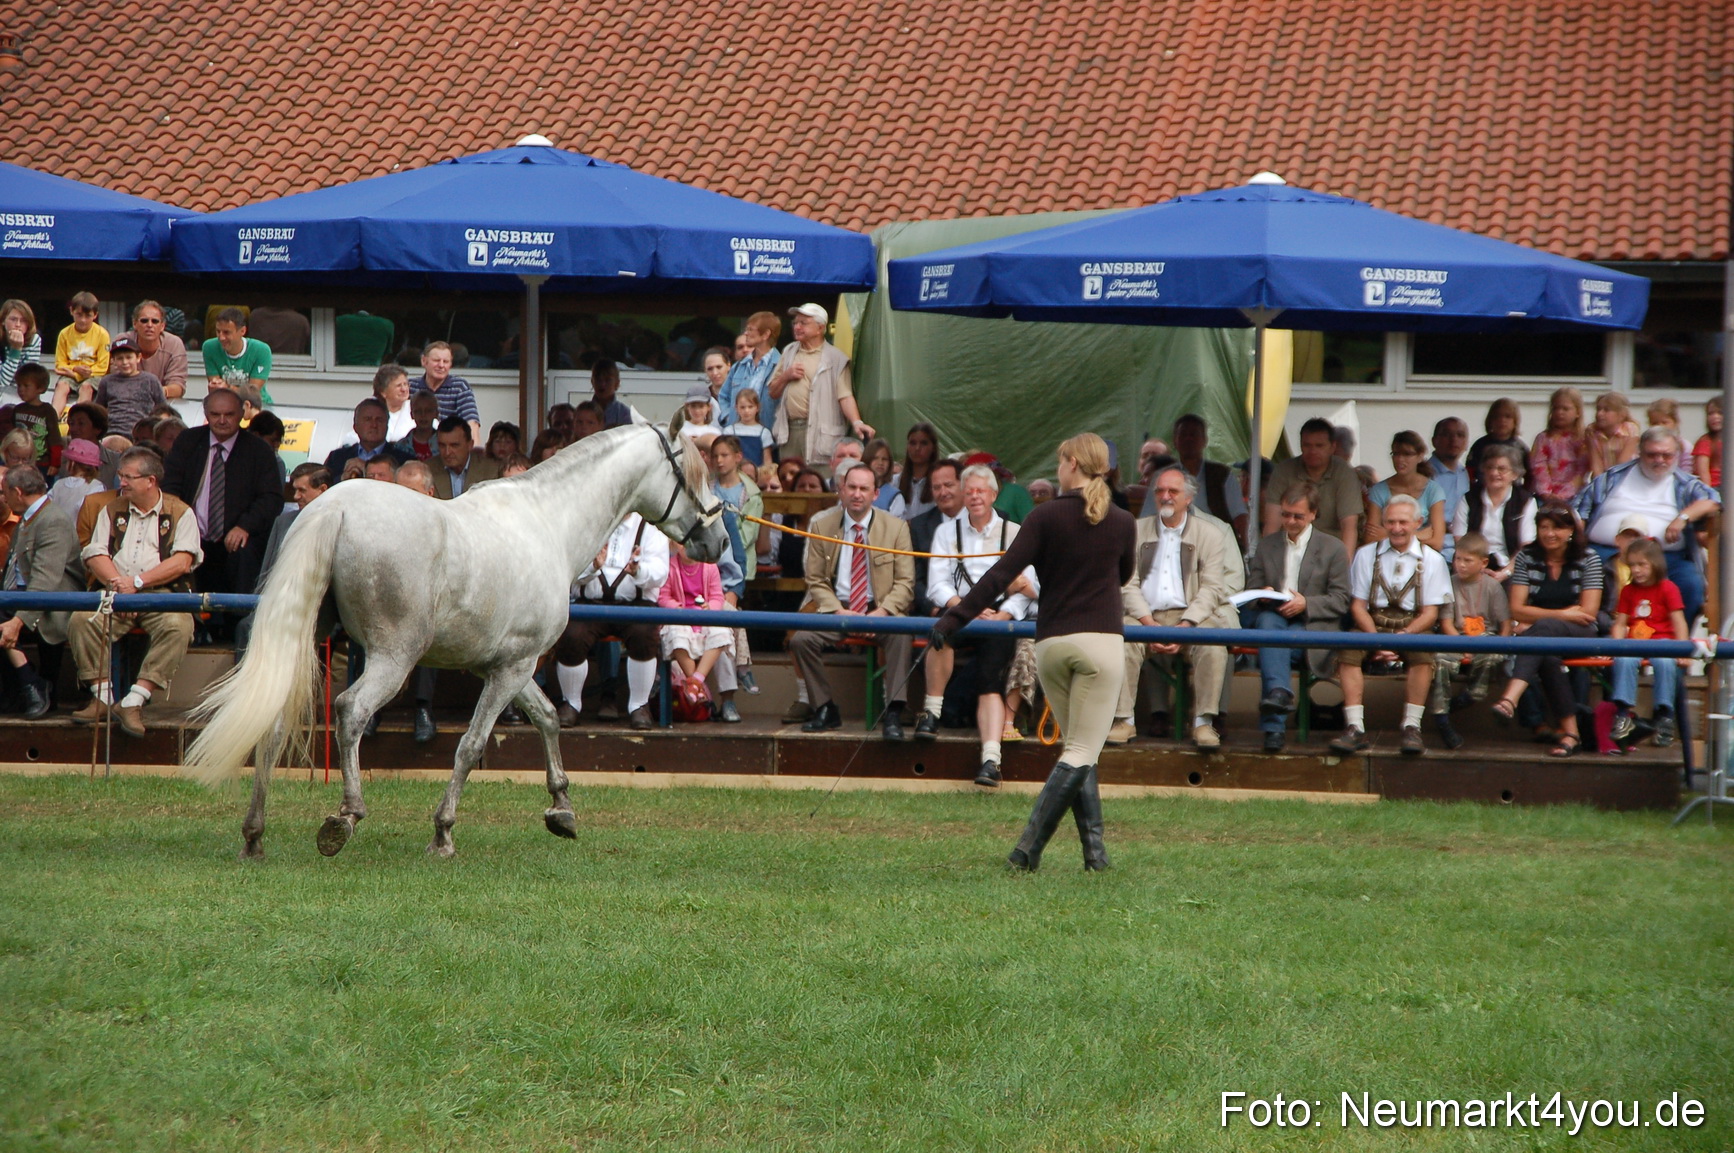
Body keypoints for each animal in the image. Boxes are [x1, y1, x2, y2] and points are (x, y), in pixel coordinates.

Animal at [182, 419, 729, 859]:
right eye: (695, 475)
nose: (719, 541)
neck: (547, 523)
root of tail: (331, 510)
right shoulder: (513, 668)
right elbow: (472, 744)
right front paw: (443, 833)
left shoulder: (511, 665)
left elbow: (548, 719)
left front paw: (562, 809)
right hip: (393, 658)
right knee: (351, 711)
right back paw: (345, 817)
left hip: (306, 641)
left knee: (273, 724)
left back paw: (255, 835)